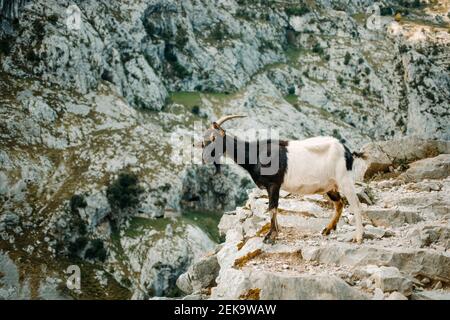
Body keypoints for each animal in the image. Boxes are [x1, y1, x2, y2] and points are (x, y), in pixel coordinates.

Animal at [200, 115, 366, 242]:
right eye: (204, 140)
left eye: (214, 138)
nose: (204, 158)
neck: (256, 153)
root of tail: (348, 152)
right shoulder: (271, 187)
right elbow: (273, 208)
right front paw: (275, 232)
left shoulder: (274, 184)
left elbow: (272, 207)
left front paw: (270, 236)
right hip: (330, 185)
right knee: (339, 203)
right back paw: (327, 229)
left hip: (344, 179)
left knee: (355, 204)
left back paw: (358, 237)